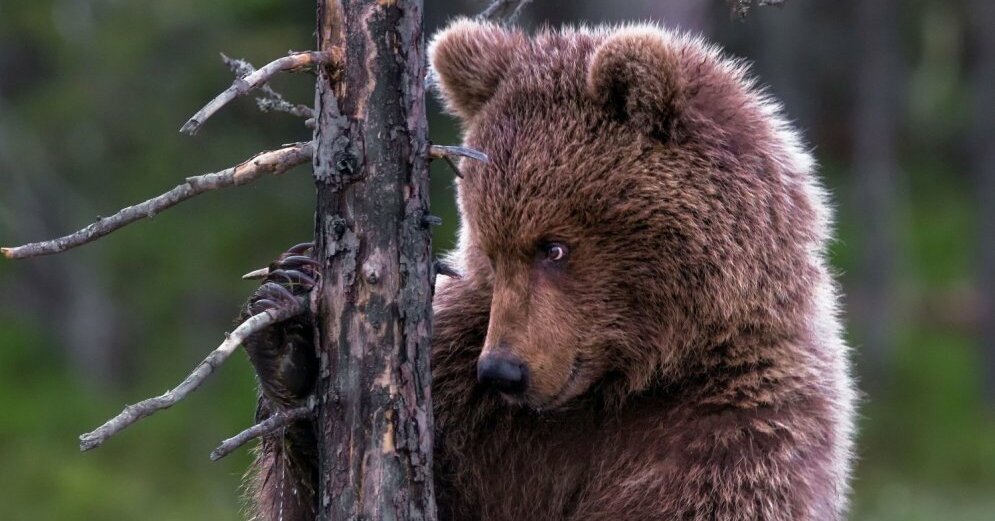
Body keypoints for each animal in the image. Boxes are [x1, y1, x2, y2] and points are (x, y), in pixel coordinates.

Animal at [241, 18, 856, 520]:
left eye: (553, 247)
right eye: (491, 249)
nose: (502, 372)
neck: (622, 382)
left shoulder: (735, 432)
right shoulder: (466, 393)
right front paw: (288, 340)